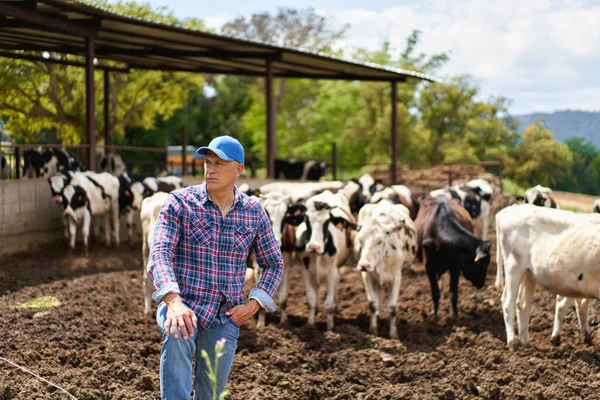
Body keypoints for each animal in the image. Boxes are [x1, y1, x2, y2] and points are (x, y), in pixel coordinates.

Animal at [296, 191, 356, 332]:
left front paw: (330, 329)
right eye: (306, 220)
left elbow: (328, 305)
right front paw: (310, 326)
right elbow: (311, 300)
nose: (314, 246)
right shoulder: (306, 271)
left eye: (327, 222)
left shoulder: (332, 273)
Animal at [354, 200, 414, 338]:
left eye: (379, 241)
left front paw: (393, 335)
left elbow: (392, 307)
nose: (364, 265)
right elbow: (373, 304)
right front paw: (374, 331)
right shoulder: (367, 276)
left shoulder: (396, 276)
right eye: (360, 240)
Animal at [494, 205, 600, 346]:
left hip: (529, 273)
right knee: (507, 302)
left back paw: (526, 343)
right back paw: (512, 342)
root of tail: (506, 211)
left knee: (523, 304)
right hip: (514, 266)